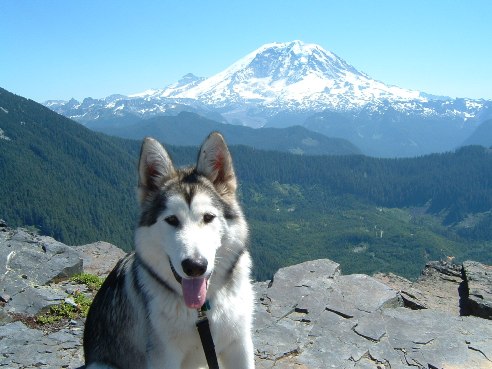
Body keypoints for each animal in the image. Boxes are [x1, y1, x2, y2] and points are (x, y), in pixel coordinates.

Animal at [83, 133, 256, 368]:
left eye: (208, 217)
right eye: (172, 220)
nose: (195, 266)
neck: (202, 311)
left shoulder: (240, 345)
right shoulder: (164, 356)